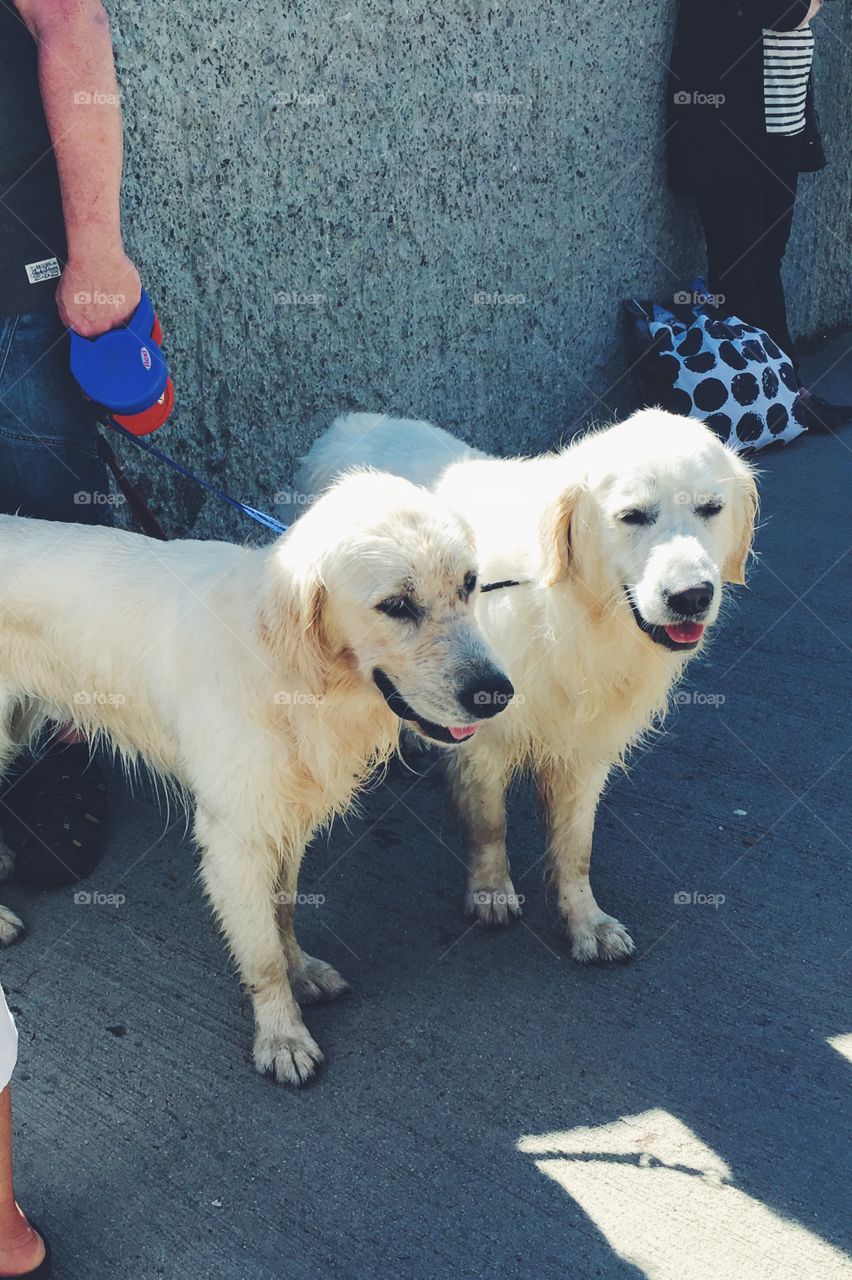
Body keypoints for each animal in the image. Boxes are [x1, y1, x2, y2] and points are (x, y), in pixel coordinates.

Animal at [0, 471, 511, 1080]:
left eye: (470, 584)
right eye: (395, 605)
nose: (497, 693)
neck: (293, 674)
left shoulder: (285, 815)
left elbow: (282, 910)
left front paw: (301, 971)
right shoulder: (235, 836)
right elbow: (261, 952)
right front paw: (282, 1038)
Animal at [294, 407, 757, 962]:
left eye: (711, 509)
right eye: (633, 516)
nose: (691, 597)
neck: (574, 610)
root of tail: (348, 421)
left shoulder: (585, 747)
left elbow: (576, 846)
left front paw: (586, 921)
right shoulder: (486, 736)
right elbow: (490, 823)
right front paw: (492, 893)